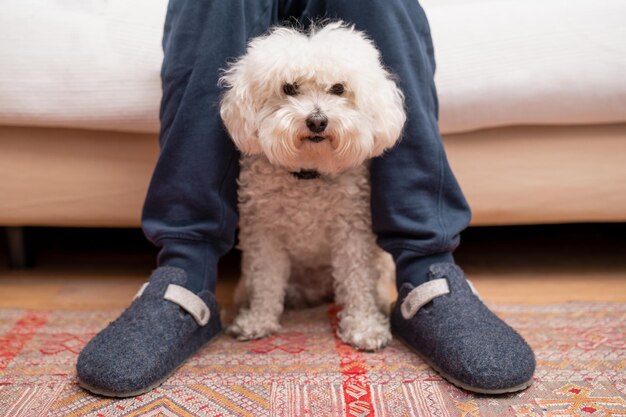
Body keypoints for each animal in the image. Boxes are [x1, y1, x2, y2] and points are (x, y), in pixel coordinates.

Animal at [219, 21, 404, 350]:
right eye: (289, 88)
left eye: (339, 88)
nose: (317, 121)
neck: (309, 172)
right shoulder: (264, 233)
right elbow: (266, 280)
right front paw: (257, 321)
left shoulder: (352, 233)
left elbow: (357, 282)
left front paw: (364, 327)